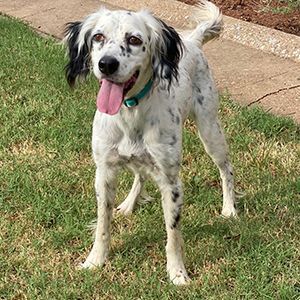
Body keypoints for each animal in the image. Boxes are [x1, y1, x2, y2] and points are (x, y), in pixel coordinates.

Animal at [63, 0, 237, 286]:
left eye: (134, 40)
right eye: (98, 37)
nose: (106, 64)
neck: (130, 111)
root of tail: (193, 39)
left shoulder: (171, 182)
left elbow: (173, 235)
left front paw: (177, 274)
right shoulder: (104, 173)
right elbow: (102, 225)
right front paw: (95, 261)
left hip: (210, 131)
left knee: (226, 170)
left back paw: (230, 209)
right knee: (139, 175)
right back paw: (129, 203)